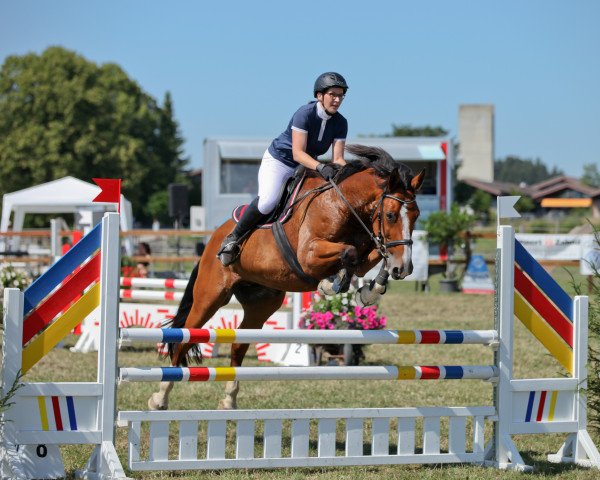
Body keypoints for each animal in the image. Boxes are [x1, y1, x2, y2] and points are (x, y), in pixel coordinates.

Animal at [148, 144, 424, 410]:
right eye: (390, 215)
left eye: (416, 216)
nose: (405, 269)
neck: (343, 205)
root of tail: (213, 240)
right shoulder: (308, 255)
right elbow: (350, 253)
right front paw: (330, 284)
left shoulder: (368, 249)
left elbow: (372, 256)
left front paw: (369, 290)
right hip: (210, 296)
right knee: (184, 338)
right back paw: (160, 397)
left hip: (261, 304)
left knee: (239, 344)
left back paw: (229, 399)